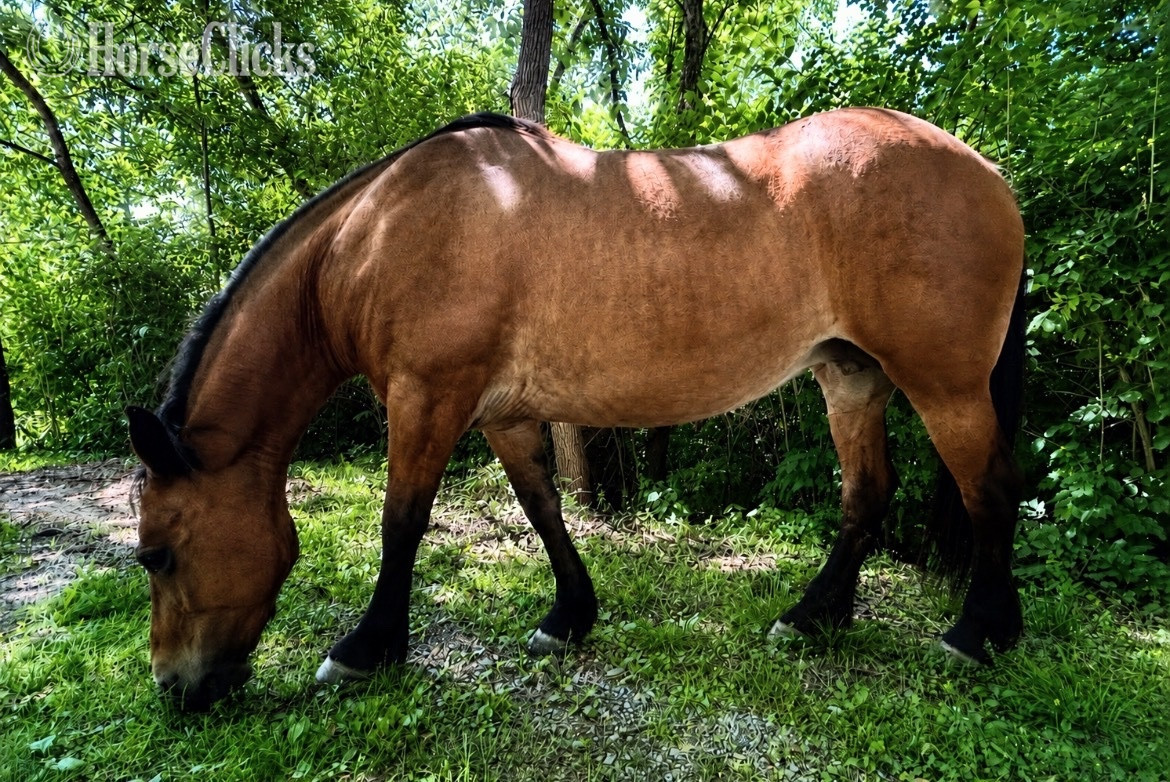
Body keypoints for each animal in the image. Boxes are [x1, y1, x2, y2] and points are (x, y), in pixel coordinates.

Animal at [128, 108, 1025, 711]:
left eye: (157, 556)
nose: (175, 688)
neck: (378, 234)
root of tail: (986, 171)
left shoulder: (428, 397)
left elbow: (401, 523)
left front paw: (366, 647)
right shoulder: (500, 412)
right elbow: (542, 509)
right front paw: (569, 617)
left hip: (943, 384)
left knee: (988, 489)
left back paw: (978, 633)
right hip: (851, 379)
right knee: (866, 495)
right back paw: (813, 619)